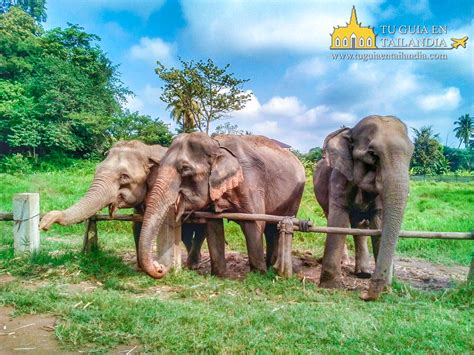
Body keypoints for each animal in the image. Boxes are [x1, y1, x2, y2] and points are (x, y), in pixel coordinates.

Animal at [39, 140, 206, 268]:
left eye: (124, 177)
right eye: (96, 170)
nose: (43, 224)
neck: (147, 149)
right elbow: (137, 225)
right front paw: (140, 268)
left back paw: (193, 265)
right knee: (186, 233)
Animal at [139, 132, 306, 280]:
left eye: (185, 169)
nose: (160, 267)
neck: (216, 145)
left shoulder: (250, 181)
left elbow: (253, 224)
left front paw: (259, 275)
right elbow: (213, 226)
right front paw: (219, 275)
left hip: (296, 195)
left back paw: (271, 267)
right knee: (271, 229)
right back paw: (270, 264)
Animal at [312, 116, 412, 300]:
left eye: (411, 154)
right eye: (373, 154)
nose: (364, 295)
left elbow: (378, 222)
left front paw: (386, 287)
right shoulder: (339, 178)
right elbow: (338, 221)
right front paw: (330, 286)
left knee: (360, 227)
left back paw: (363, 273)